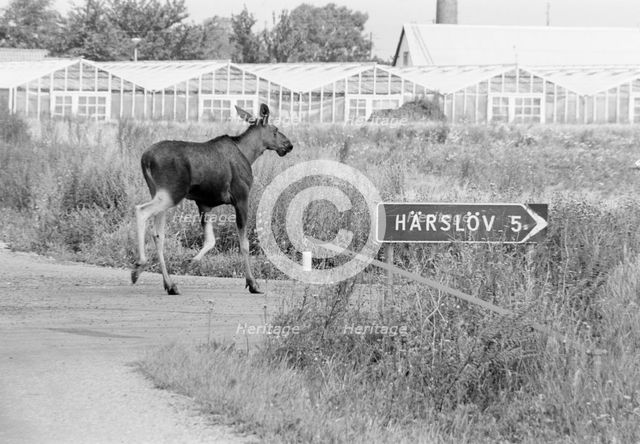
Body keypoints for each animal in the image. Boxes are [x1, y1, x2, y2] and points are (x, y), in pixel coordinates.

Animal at [130, 104, 293, 295]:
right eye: (275, 130)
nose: (289, 145)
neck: (250, 153)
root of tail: (145, 159)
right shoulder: (241, 198)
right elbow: (244, 244)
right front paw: (252, 283)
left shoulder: (204, 204)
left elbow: (210, 240)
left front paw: (191, 261)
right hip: (171, 193)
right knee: (141, 211)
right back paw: (139, 265)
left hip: (159, 193)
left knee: (158, 234)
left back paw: (170, 284)